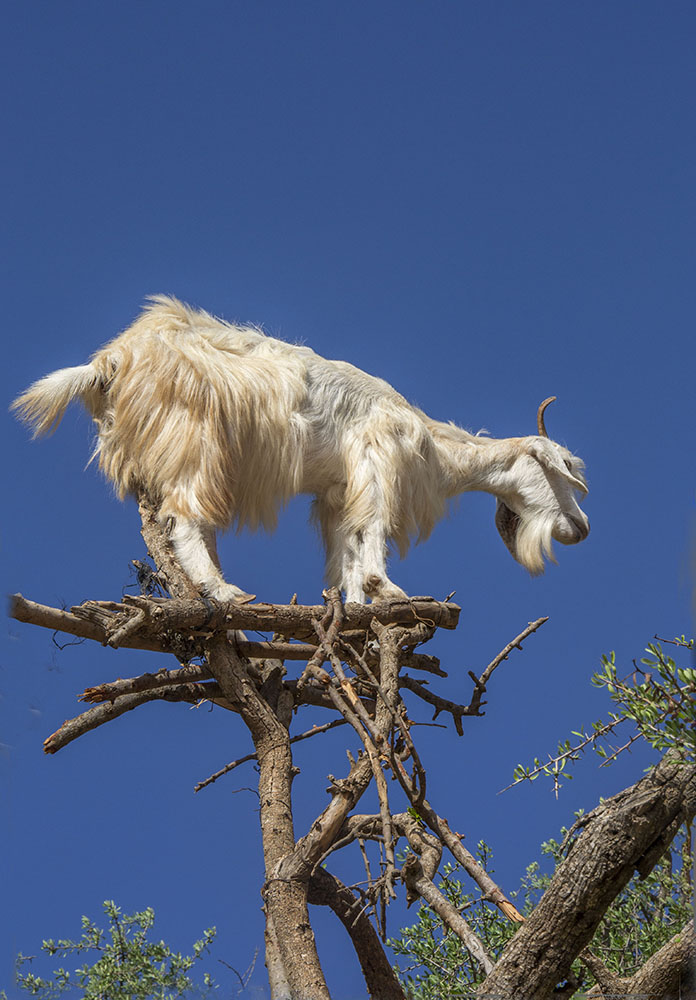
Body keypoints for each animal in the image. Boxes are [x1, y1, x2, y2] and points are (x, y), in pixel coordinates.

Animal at [13, 296, 589, 603]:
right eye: (562, 470)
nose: (581, 528)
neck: (432, 443)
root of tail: (111, 360)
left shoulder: (336, 492)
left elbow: (345, 554)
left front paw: (358, 606)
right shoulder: (377, 461)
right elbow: (373, 531)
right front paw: (391, 591)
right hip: (195, 440)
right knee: (187, 517)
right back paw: (225, 593)